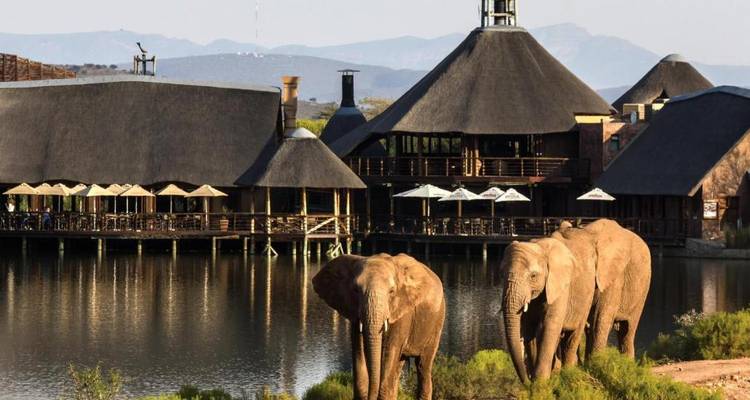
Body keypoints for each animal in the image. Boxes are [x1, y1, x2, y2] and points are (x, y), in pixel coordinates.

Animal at [312, 253, 446, 400]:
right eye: (355, 290)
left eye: (392, 291)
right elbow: (358, 350)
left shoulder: (402, 313)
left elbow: (389, 352)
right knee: (399, 367)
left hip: (437, 320)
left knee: (423, 365)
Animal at [501, 235, 597, 382]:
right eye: (502, 273)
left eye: (533, 276)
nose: (526, 380)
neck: (539, 247)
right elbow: (529, 329)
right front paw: (534, 380)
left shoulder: (559, 287)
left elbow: (549, 326)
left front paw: (540, 382)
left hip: (587, 296)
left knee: (573, 336)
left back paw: (568, 373)